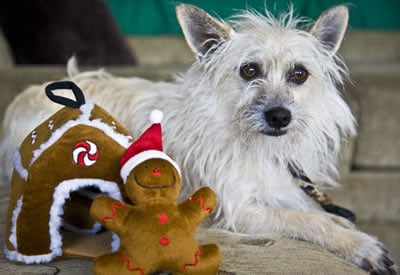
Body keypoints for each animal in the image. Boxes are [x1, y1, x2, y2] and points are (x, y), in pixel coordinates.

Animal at [0, 3, 396, 274]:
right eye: (248, 70)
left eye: (299, 74)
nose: (280, 116)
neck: (256, 144)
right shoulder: (242, 210)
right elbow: (307, 221)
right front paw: (361, 245)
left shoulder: (285, 186)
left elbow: (314, 211)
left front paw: (344, 226)